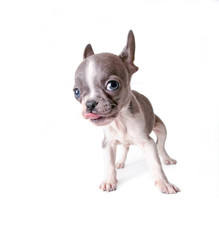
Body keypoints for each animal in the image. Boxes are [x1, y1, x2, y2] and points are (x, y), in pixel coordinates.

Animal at [73, 31, 180, 194]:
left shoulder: (147, 142)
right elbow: (109, 164)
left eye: (112, 85)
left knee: (161, 145)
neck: (120, 120)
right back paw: (120, 162)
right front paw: (109, 181)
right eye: (76, 92)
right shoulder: (108, 143)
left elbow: (155, 164)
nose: (90, 104)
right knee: (125, 148)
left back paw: (167, 158)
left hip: (161, 128)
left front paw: (164, 183)